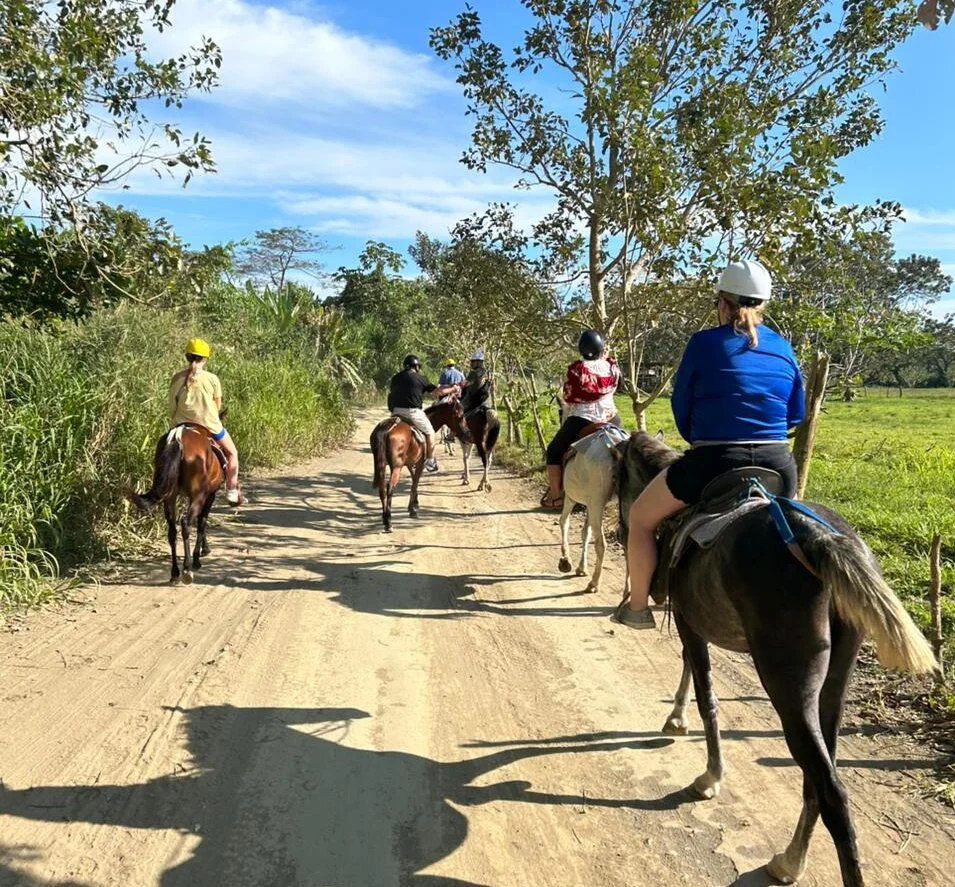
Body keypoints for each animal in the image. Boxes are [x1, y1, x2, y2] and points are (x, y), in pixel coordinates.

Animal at [125, 424, 226, 584]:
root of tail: (177, 437)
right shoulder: (210, 495)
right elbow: (202, 521)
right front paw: (199, 556)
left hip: (170, 496)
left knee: (172, 530)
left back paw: (175, 572)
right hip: (197, 495)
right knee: (186, 523)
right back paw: (187, 568)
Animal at [556, 426, 628, 594]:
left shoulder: (571, 497)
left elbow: (564, 522)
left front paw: (565, 560)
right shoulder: (589, 504)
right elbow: (585, 533)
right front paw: (581, 568)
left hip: (596, 503)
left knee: (601, 544)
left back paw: (594, 583)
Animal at [615, 431, 936, 887]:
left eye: (618, 475)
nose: (622, 527)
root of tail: (819, 538)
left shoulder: (690, 623)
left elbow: (706, 695)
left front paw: (709, 775)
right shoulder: (693, 620)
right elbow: (688, 669)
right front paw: (676, 719)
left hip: (788, 683)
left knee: (830, 790)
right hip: (834, 683)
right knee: (818, 776)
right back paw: (789, 860)